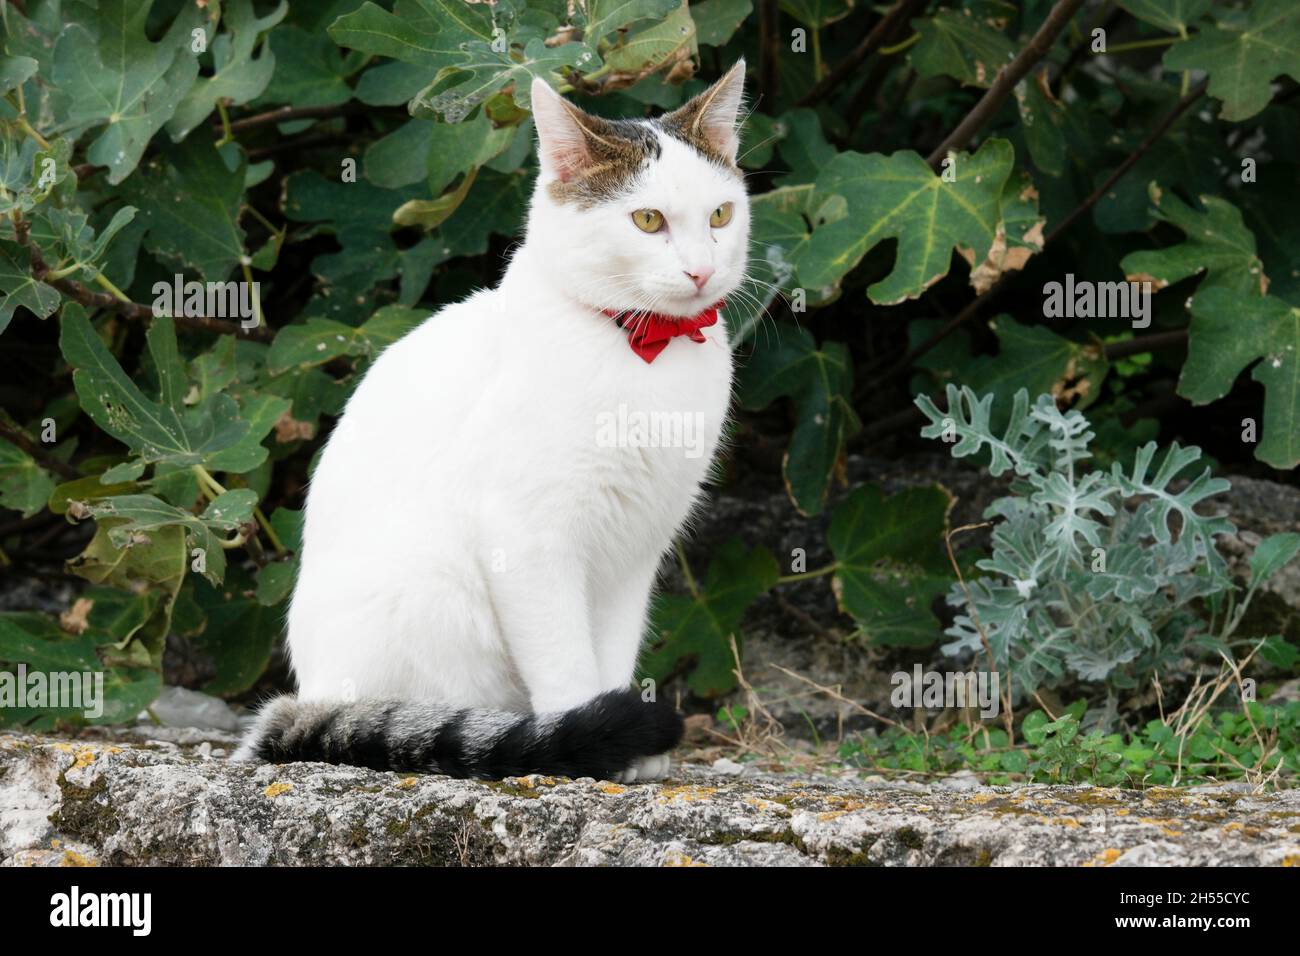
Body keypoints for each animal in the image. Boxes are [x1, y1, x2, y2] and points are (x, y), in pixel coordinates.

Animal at [236, 61, 754, 785]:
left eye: (720, 215)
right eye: (648, 220)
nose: (702, 269)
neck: (643, 350)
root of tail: (312, 695)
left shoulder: (635, 548)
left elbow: (614, 649)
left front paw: (626, 748)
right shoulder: (528, 534)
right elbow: (565, 659)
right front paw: (591, 741)